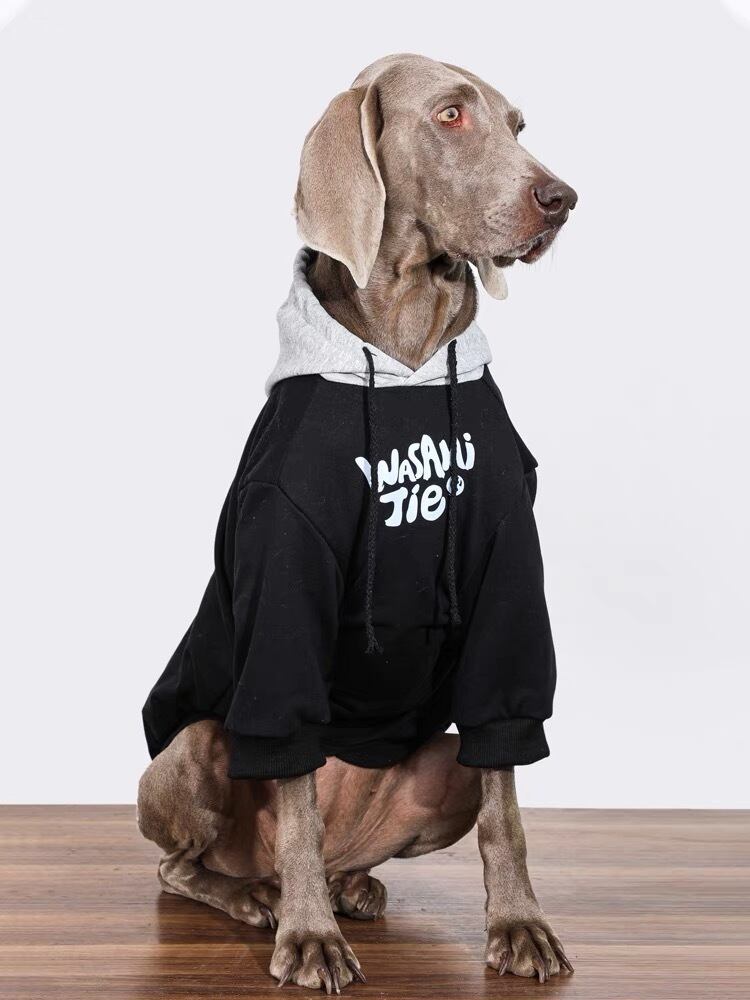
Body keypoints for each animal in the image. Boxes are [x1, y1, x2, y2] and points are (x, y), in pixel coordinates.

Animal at [138, 53, 577, 992]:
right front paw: (307, 940)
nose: (561, 198)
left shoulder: (507, 567)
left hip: (442, 769)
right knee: (189, 865)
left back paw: (347, 888)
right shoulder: (289, 566)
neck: (406, 357)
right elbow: (296, 787)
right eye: (450, 116)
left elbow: (508, 799)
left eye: (518, 125)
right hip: (195, 746)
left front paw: (519, 924)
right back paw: (266, 900)